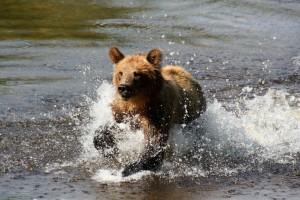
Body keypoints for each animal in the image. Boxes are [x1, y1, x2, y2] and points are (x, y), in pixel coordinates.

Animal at [94, 47, 206, 177]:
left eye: (137, 74)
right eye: (121, 72)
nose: (123, 88)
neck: (138, 103)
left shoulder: (155, 113)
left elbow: (154, 144)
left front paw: (129, 168)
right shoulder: (123, 112)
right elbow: (108, 127)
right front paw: (107, 146)